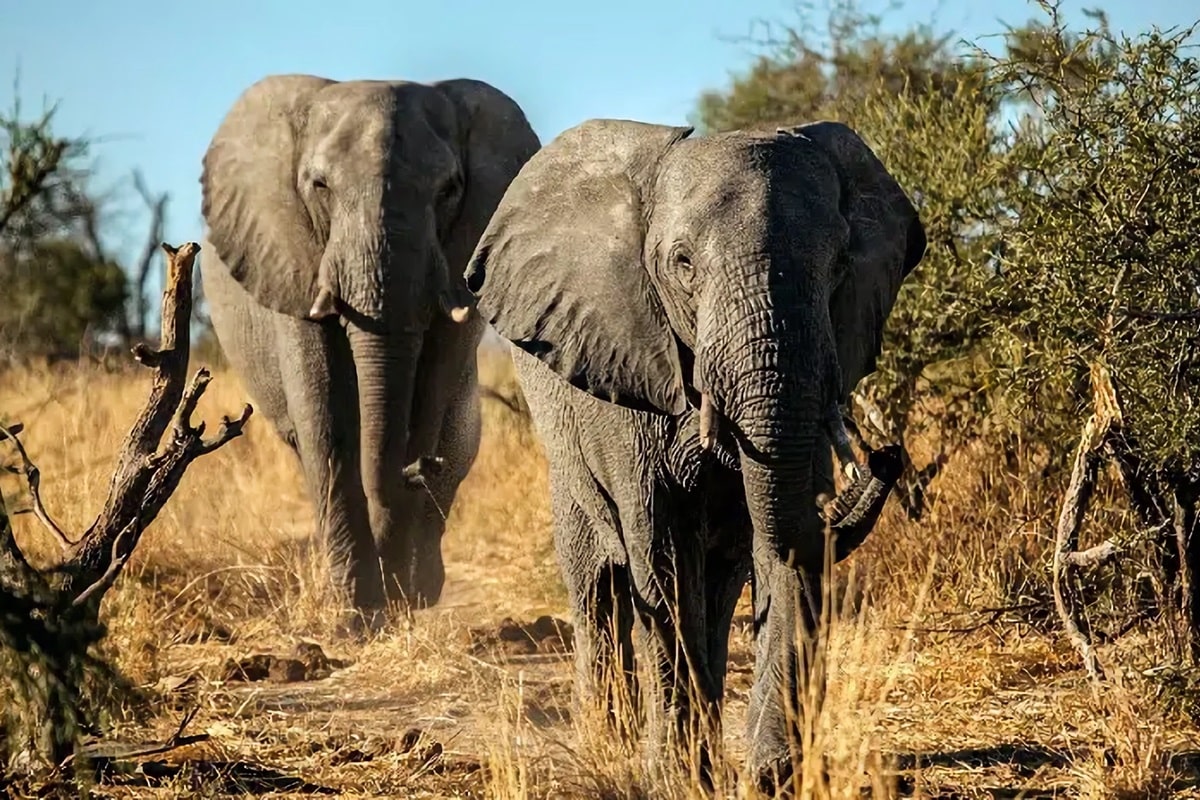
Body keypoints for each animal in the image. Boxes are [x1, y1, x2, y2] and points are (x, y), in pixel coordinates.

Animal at [200, 74, 540, 623]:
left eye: (449, 189)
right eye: (319, 186)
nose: (418, 470)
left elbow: (428, 398)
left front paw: (398, 595)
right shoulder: (291, 259)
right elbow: (326, 417)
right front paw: (356, 617)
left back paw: (421, 587)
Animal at [463, 118, 921, 786]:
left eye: (840, 265)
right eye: (682, 264)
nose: (887, 456)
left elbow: (784, 539)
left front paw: (771, 775)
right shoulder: (629, 371)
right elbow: (662, 547)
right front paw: (680, 778)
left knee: (719, 581)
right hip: (566, 454)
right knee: (597, 583)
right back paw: (610, 740)